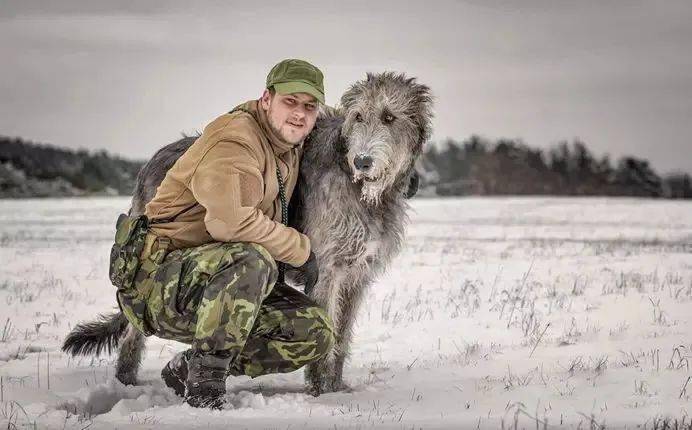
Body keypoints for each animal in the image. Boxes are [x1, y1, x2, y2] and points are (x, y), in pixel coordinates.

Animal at [65, 71, 432, 396]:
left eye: (389, 117)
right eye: (357, 116)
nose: (363, 162)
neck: (364, 191)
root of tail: (151, 161)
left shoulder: (357, 274)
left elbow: (341, 337)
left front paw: (338, 387)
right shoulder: (328, 270)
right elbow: (327, 333)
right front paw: (320, 392)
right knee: (134, 332)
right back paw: (127, 380)